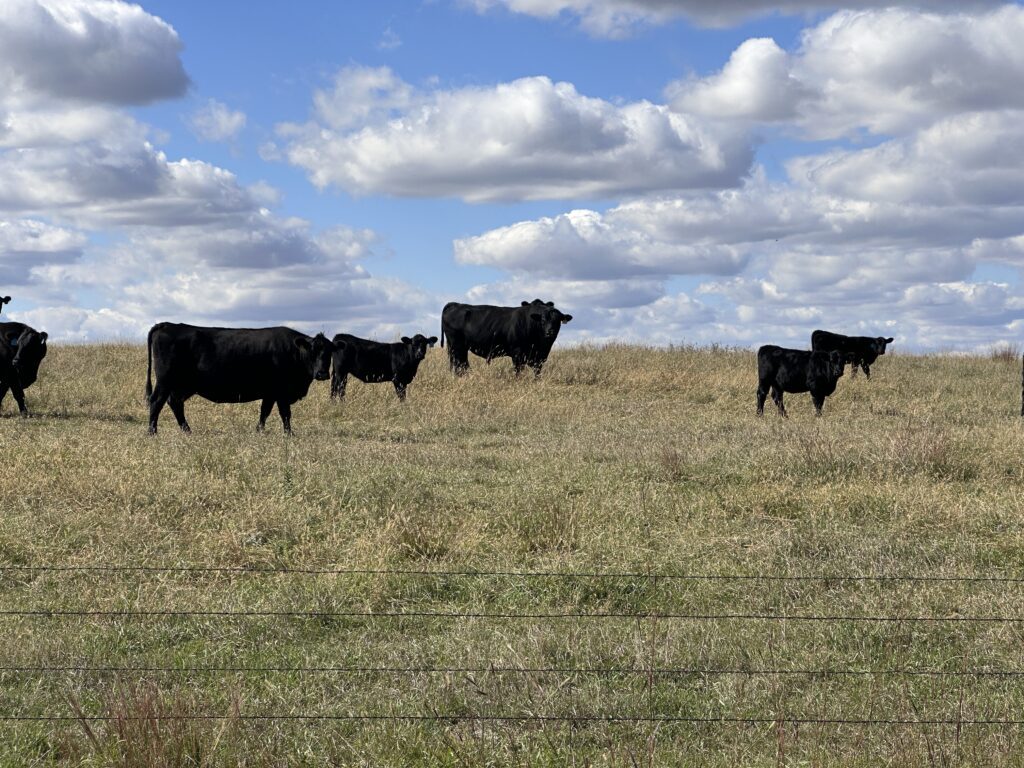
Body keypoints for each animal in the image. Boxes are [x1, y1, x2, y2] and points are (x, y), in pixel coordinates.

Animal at [145, 323, 335, 435]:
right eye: (312, 351)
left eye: (330, 352)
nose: (322, 373)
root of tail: (167, 325)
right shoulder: (281, 391)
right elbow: (285, 413)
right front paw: (289, 434)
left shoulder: (270, 393)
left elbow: (265, 411)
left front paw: (259, 431)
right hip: (165, 381)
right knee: (156, 402)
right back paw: (152, 432)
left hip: (183, 385)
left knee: (175, 403)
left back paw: (187, 431)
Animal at [440, 299, 572, 376]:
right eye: (543, 320)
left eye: (558, 321)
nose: (550, 331)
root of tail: (456, 304)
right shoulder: (518, 354)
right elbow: (518, 371)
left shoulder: (539, 358)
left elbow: (537, 372)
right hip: (457, 346)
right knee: (459, 363)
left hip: (459, 347)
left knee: (461, 363)